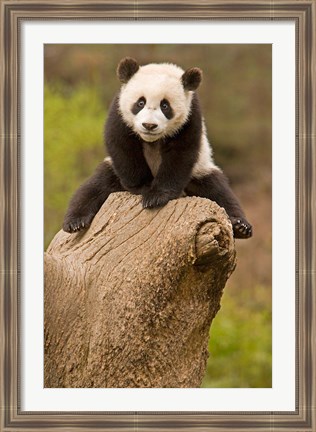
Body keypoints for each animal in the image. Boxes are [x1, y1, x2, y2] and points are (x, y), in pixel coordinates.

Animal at [63, 56, 253, 240]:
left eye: (165, 106)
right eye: (140, 103)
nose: (149, 125)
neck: (151, 140)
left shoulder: (190, 117)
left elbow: (180, 155)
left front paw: (155, 196)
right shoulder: (119, 112)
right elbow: (122, 146)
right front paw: (144, 188)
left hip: (200, 171)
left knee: (218, 191)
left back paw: (240, 226)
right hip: (112, 173)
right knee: (94, 188)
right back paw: (76, 222)